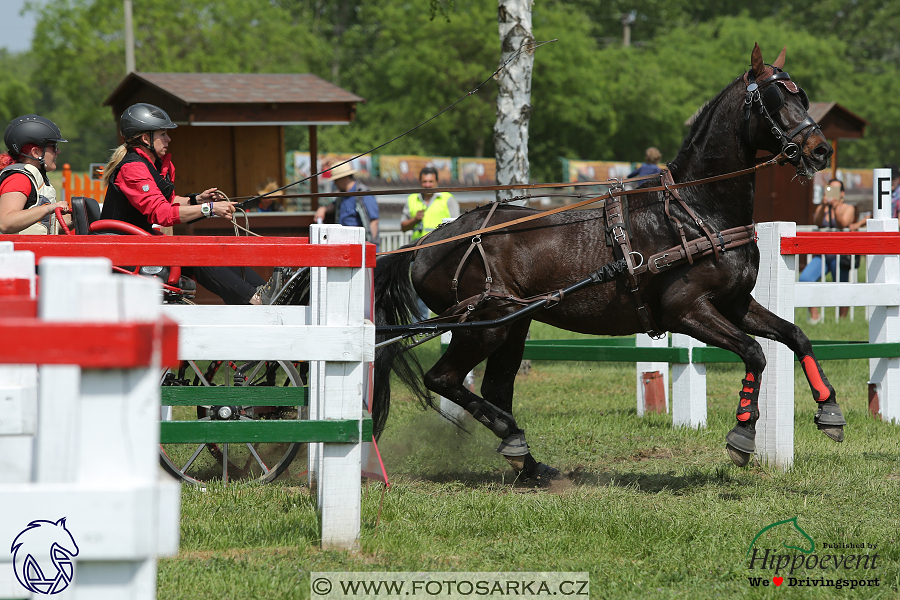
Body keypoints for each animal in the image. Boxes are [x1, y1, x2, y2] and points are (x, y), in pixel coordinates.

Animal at [372, 44, 844, 482]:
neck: (694, 211)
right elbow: (754, 353)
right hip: (485, 325)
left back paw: (528, 463)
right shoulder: (687, 311)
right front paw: (743, 432)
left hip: (512, 323)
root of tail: (428, 242)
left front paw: (829, 410)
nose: (821, 150)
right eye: (775, 99)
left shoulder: (735, 303)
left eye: (803, 96)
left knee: (494, 387)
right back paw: (512, 435)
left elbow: (796, 336)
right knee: (444, 380)